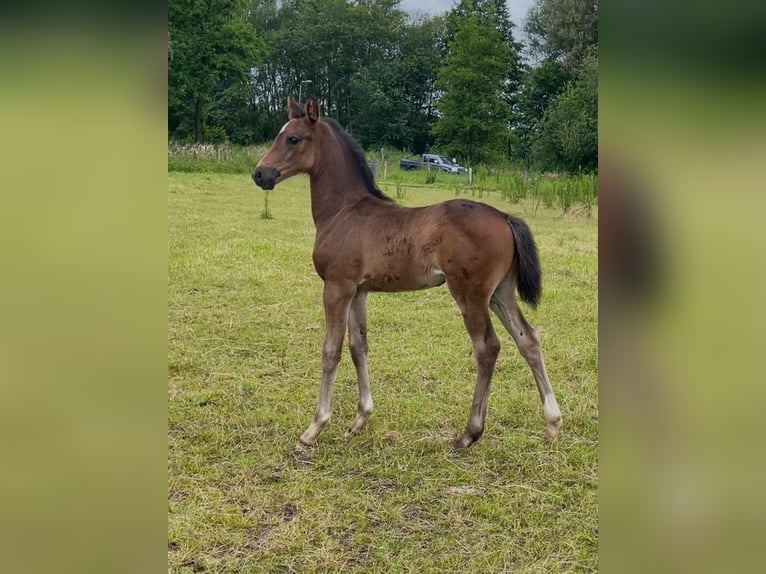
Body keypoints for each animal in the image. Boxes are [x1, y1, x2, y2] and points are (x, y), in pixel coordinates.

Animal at [255, 97, 560, 452]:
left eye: (293, 138)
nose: (260, 174)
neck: (343, 212)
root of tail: (504, 217)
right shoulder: (358, 290)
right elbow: (358, 346)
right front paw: (359, 420)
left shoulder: (336, 287)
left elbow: (331, 350)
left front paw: (314, 428)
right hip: (501, 293)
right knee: (528, 339)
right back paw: (552, 424)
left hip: (470, 294)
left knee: (487, 348)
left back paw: (468, 434)